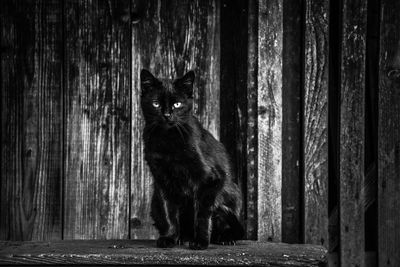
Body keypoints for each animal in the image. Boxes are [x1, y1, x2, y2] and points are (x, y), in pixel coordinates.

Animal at [141, 69, 244, 251]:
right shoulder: (163, 181)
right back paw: (182, 238)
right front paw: (169, 238)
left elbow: (202, 214)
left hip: (233, 192)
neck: (168, 142)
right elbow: (169, 213)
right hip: (155, 201)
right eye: (155, 104)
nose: (167, 115)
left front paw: (201, 241)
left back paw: (224, 238)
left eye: (177, 104)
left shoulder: (212, 179)